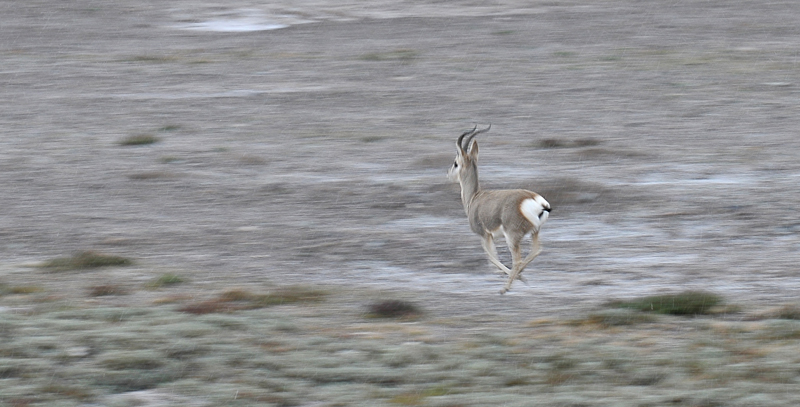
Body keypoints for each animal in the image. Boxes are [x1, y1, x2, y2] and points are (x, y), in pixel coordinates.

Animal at [444, 124, 552, 294]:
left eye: (456, 163)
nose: (448, 173)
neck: (475, 197)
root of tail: (536, 201)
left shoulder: (484, 235)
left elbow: (492, 257)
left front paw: (515, 279)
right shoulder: (489, 236)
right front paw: (521, 278)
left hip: (512, 237)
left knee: (517, 260)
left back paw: (505, 288)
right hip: (535, 231)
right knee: (536, 250)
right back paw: (519, 277)